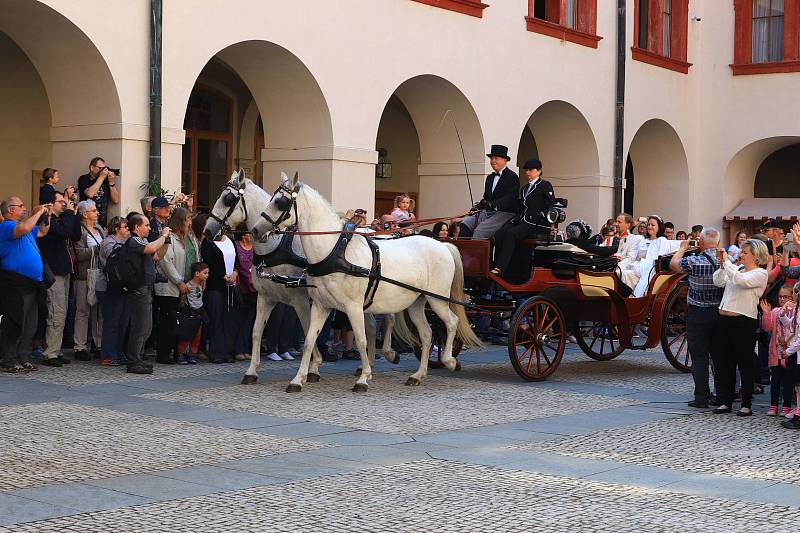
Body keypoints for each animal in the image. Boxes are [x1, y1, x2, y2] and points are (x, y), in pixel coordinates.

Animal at [203, 170, 396, 382]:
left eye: (227, 199)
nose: (207, 231)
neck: (276, 246)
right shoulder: (265, 297)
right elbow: (256, 332)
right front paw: (252, 371)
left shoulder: (300, 300)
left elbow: (307, 328)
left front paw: (314, 366)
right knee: (371, 325)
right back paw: (368, 365)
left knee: (389, 317)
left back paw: (389, 353)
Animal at [250, 174, 482, 390]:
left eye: (280, 202)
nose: (255, 230)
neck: (334, 251)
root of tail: (443, 245)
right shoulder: (321, 305)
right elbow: (309, 340)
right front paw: (298, 380)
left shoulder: (353, 306)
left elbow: (361, 339)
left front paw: (364, 378)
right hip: (417, 302)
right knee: (426, 334)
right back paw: (418, 375)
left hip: (437, 299)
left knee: (451, 322)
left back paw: (449, 360)